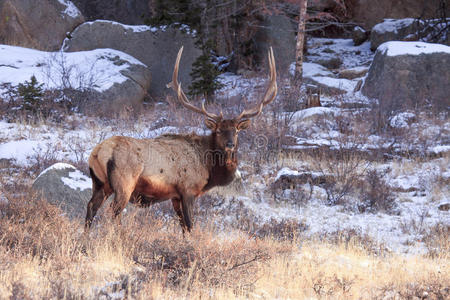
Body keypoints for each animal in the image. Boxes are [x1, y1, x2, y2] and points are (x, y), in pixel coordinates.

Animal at [82, 46, 276, 232]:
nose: (230, 144)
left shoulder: (174, 196)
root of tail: (98, 153)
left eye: (236, 131)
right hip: (124, 182)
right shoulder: (188, 189)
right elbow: (190, 225)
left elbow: (183, 226)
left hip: (100, 183)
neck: (208, 167)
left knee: (91, 207)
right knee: (113, 212)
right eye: (219, 130)